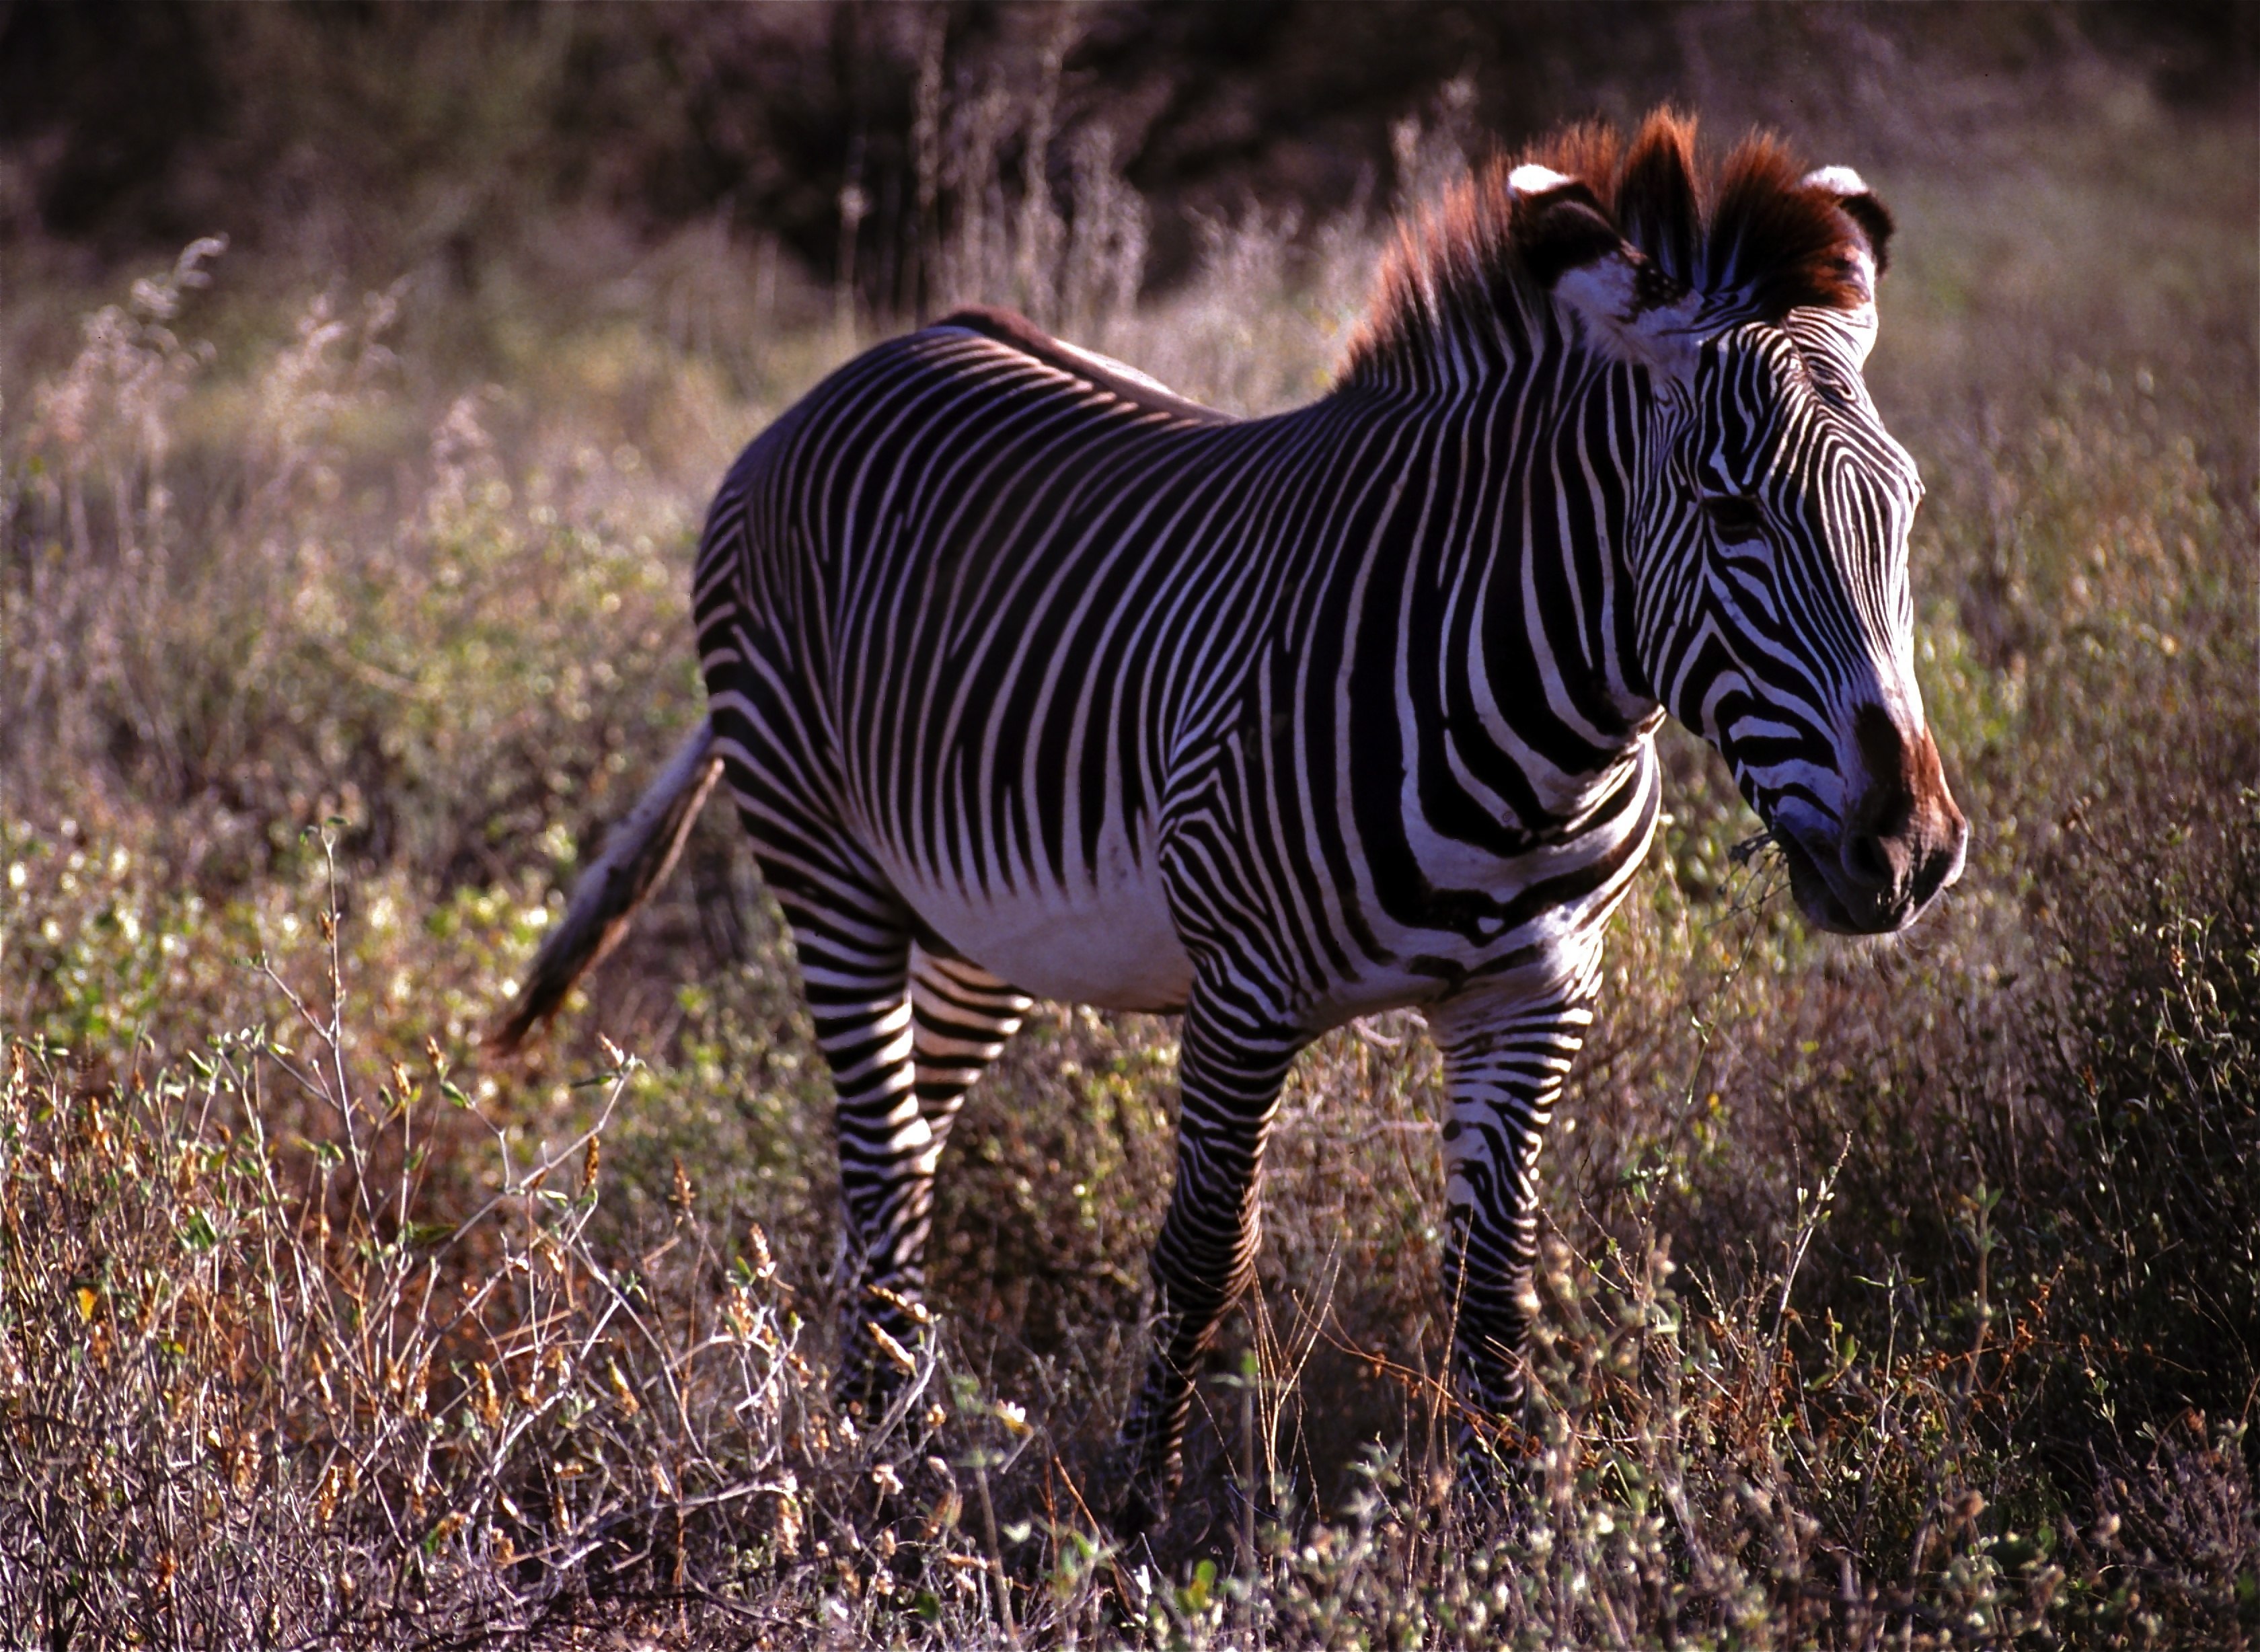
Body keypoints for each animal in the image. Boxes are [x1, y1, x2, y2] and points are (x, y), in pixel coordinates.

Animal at [490, 112, 1961, 1528]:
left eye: (1905, 507)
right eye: (1731, 511)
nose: (1908, 850)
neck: (1538, 736)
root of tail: (859, 365)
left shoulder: (1535, 990)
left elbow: (1496, 1271)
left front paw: (1512, 1525)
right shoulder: (1244, 990)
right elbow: (1205, 1252)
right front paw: (1131, 1519)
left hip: (981, 925)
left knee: (909, 1145)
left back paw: (886, 1410)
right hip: (823, 856)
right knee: (874, 1150)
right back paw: (875, 1446)